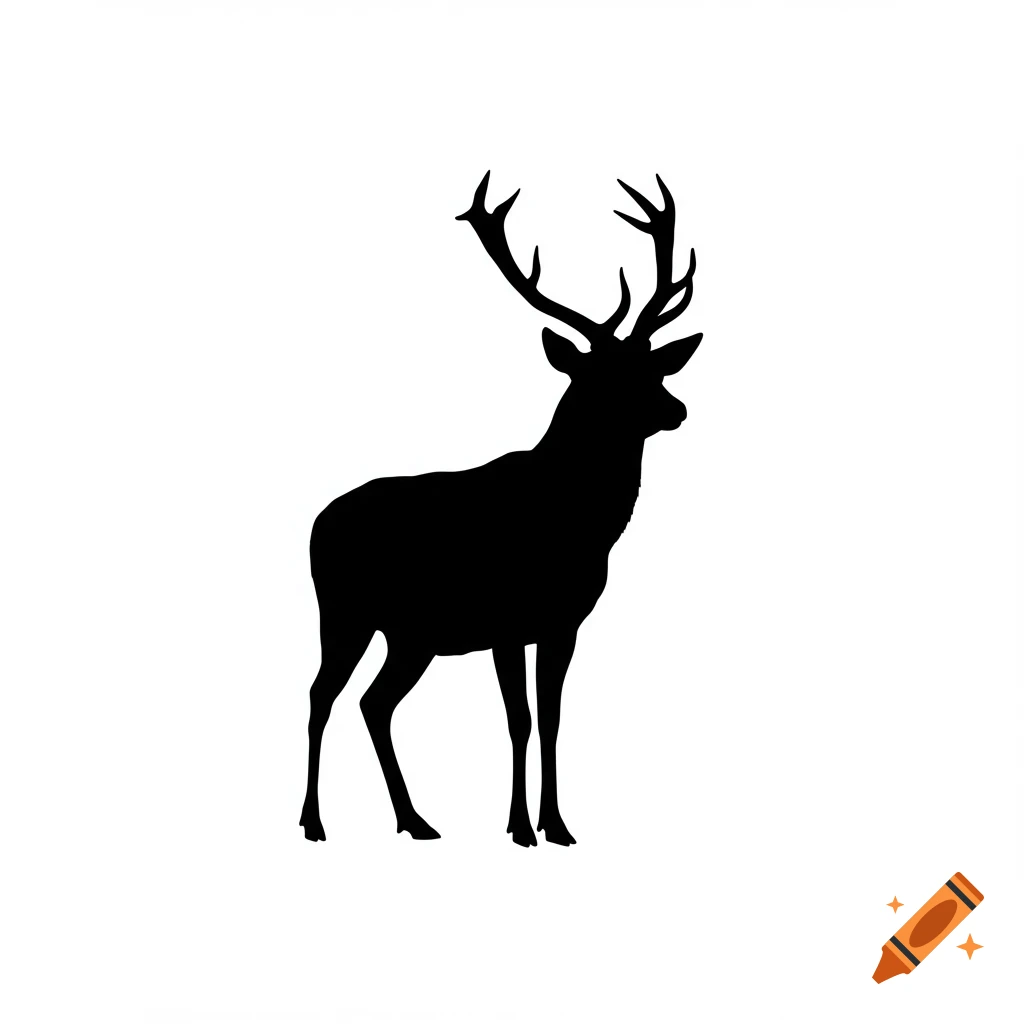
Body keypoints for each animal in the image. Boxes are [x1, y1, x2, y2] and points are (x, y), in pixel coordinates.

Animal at [300, 172, 704, 847]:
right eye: (601, 375)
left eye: (653, 367)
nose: (677, 410)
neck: (575, 523)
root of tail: (316, 522)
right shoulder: (507, 619)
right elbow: (518, 720)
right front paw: (519, 827)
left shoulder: (564, 623)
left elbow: (552, 717)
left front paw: (558, 825)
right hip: (344, 611)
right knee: (320, 696)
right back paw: (313, 822)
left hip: (411, 635)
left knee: (373, 703)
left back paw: (415, 820)